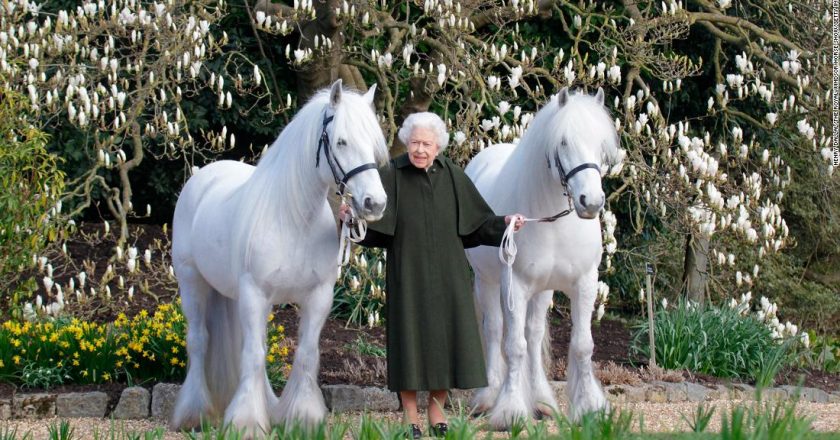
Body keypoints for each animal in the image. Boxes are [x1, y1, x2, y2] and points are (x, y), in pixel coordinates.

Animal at [171, 81, 394, 434]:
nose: (375, 203)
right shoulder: (255, 293)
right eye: (341, 141)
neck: (293, 220)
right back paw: (194, 414)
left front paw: (302, 418)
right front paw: (246, 423)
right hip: (192, 282)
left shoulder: (318, 297)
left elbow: (304, 355)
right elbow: (253, 355)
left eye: (373, 144)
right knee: (199, 341)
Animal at [466, 87, 624, 428]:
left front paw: (590, 407)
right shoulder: (515, 286)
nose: (591, 202)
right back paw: (489, 397)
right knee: (495, 330)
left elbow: (581, 345)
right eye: (563, 142)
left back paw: (542, 401)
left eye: (601, 144)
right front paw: (510, 411)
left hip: (543, 291)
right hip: (487, 282)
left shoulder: (584, 283)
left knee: (534, 334)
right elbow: (514, 347)